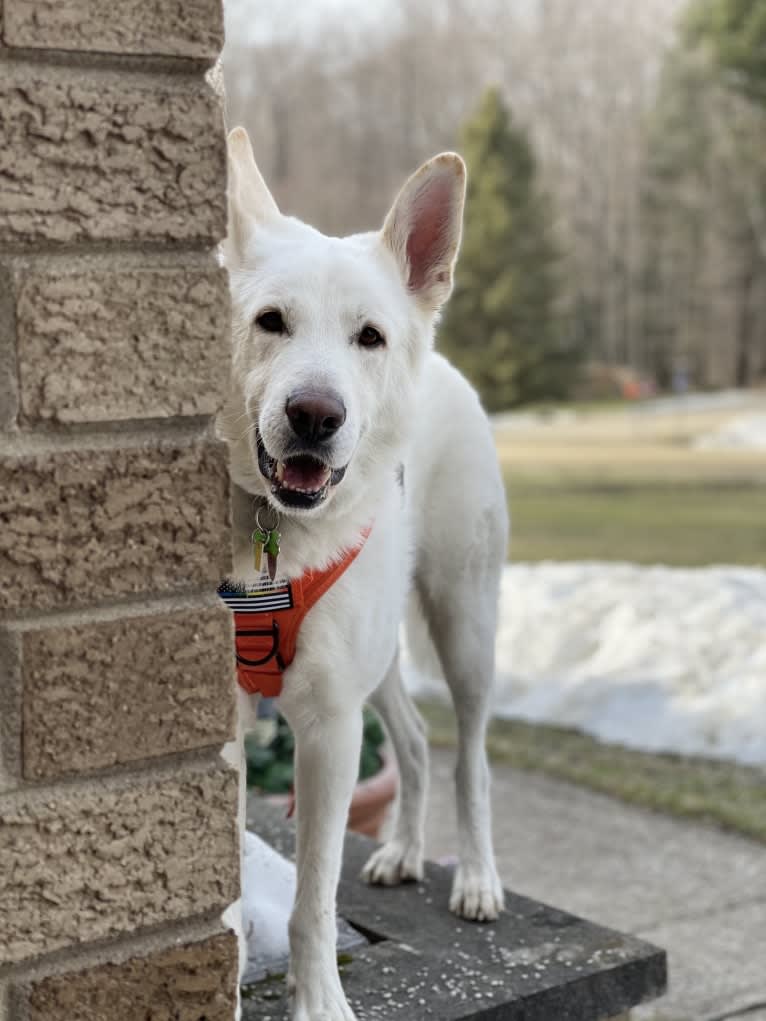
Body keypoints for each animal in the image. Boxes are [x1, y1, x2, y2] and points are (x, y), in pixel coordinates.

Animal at [218, 127, 510, 1021]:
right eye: (271, 322)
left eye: (368, 337)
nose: (315, 416)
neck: (277, 538)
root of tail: (444, 361)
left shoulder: (330, 727)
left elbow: (314, 896)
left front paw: (317, 1000)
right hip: (378, 656)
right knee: (412, 743)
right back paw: (404, 850)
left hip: (464, 621)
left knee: (469, 757)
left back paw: (476, 876)